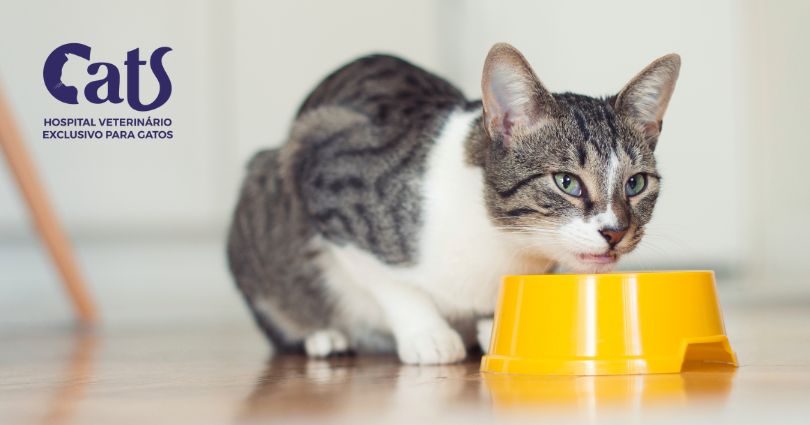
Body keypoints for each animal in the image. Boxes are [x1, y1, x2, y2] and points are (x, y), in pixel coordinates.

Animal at [226, 43, 676, 364]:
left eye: (635, 184)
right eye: (567, 182)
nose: (615, 231)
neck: (499, 239)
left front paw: (492, 326)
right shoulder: (328, 180)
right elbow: (388, 280)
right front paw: (428, 334)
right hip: (267, 182)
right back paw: (324, 336)